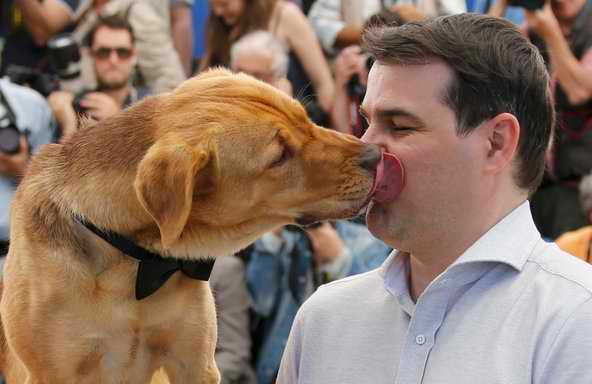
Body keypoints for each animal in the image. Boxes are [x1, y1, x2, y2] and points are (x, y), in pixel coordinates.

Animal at [0, 70, 380, 384]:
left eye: (306, 118)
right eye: (280, 155)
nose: (375, 156)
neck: (134, 264)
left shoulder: (194, 362)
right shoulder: (53, 372)